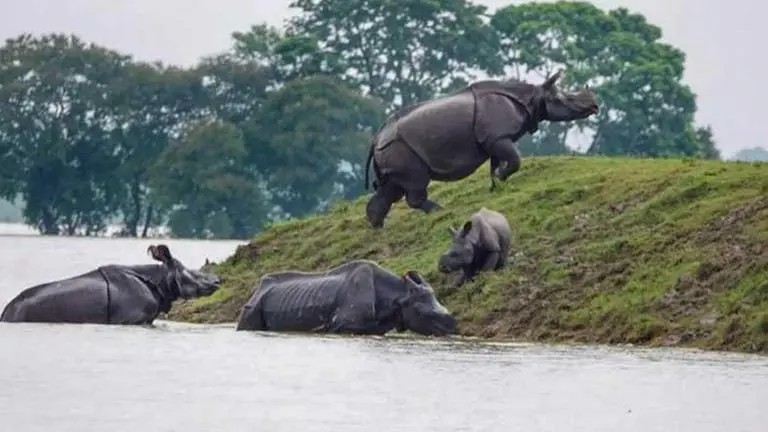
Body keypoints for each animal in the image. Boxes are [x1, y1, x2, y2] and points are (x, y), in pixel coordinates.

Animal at [235, 259, 457, 336]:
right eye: (423, 313)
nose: (452, 326)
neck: (398, 295)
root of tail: (256, 289)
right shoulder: (344, 324)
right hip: (253, 305)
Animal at [363, 69, 599, 228]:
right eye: (567, 99)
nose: (594, 107)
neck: (533, 96)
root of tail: (376, 139)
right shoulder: (497, 138)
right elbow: (515, 160)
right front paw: (501, 179)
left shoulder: (493, 140)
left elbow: (497, 165)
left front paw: (496, 185)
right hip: (399, 147)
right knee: (414, 182)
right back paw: (440, 212)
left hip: (391, 148)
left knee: (391, 187)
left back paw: (377, 227)